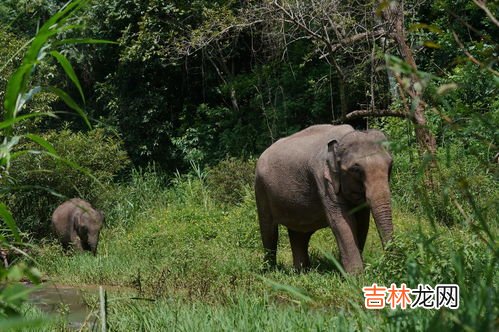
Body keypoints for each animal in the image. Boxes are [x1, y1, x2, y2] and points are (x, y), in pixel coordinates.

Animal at [258, 123, 394, 274]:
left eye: (390, 166)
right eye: (356, 170)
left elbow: (362, 221)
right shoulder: (324, 180)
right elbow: (342, 221)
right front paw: (356, 275)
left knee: (299, 233)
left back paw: (301, 271)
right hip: (261, 189)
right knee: (269, 231)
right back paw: (270, 271)